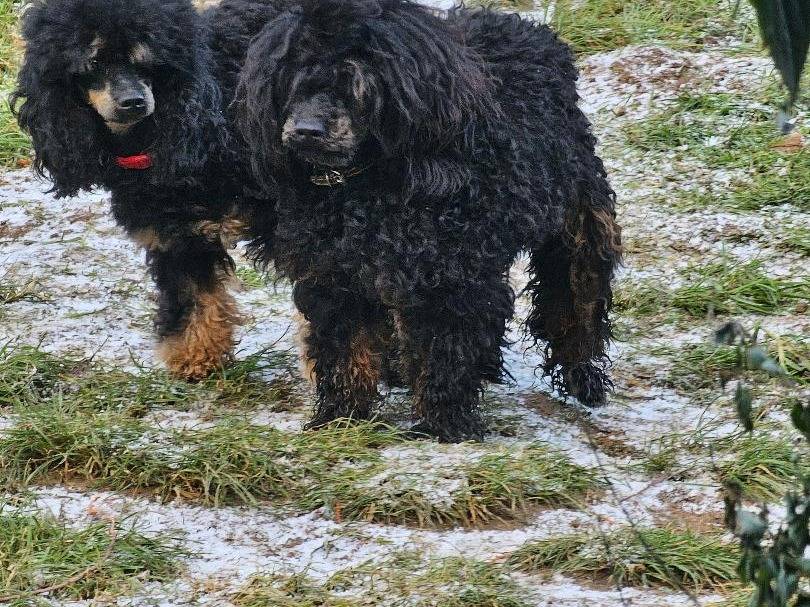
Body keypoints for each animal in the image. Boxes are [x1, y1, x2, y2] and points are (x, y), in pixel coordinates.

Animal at [12, 0, 256, 380]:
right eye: (92, 63)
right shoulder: (176, 236)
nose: (134, 101)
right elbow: (194, 296)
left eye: (147, 60)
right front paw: (195, 356)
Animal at [233, 0, 623, 442]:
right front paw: (341, 418)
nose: (305, 130)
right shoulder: (334, 274)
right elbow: (345, 349)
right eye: (293, 81)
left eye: (355, 82)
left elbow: (445, 352)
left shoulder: (448, 276)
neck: (361, 185)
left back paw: (582, 378)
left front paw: (444, 425)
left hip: (580, 225)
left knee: (575, 303)